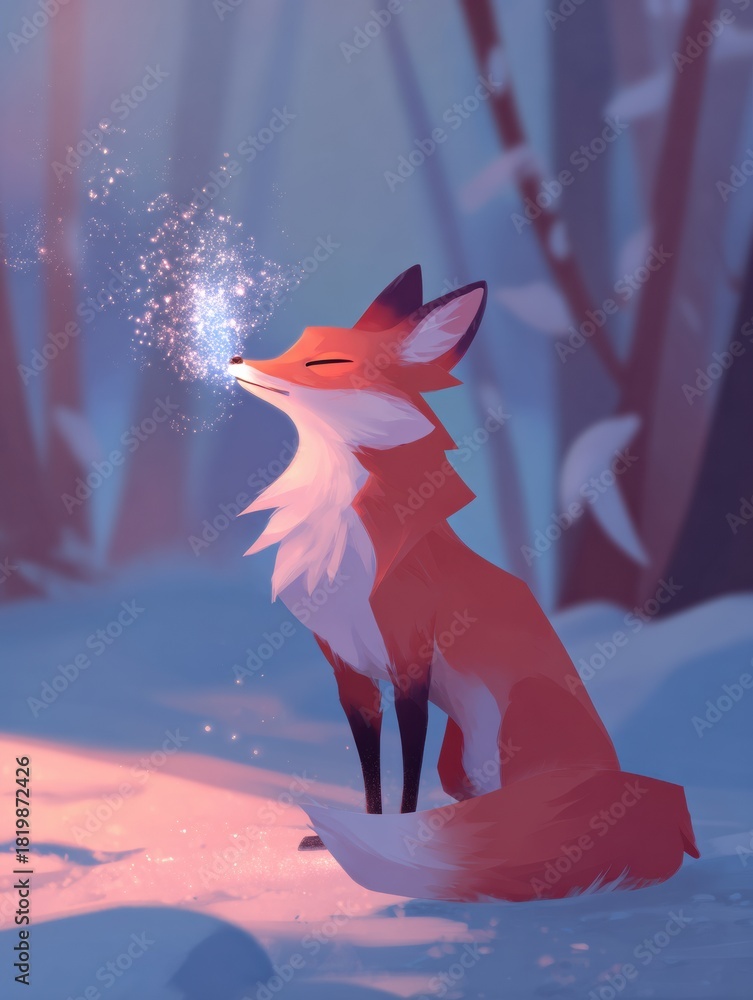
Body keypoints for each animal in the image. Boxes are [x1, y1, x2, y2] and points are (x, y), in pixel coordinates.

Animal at [229, 265, 698, 902]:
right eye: (297, 345)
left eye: (324, 363)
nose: (234, 356)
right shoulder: (349, 671)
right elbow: (371, 774)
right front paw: (354, 836)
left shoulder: (411, 662)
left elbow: (404, 773)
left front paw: (402, 835)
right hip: (460, 761)